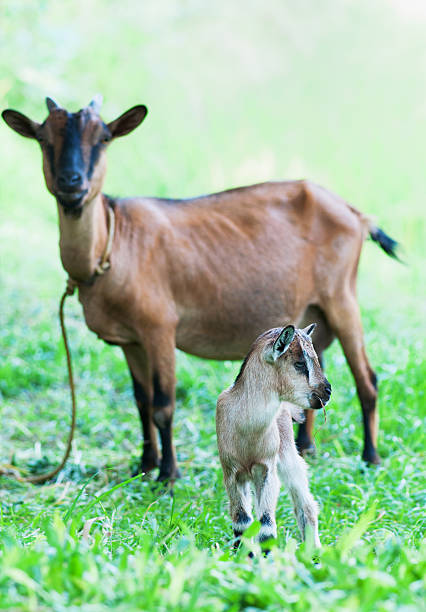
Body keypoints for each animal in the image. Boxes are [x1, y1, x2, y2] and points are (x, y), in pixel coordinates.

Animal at [1, 95, 398, 480]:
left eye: (104, 138)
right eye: (42, 139)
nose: (71, 183)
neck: (113, 245)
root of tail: (356, 214)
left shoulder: (159, 328)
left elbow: (163, 404)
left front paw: (168, 475)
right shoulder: (131, 340)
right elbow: (141, 400)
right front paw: (144, 465)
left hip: (342, 297)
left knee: (368, 379)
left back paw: (371, 458)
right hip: (311, 312)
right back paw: (306, 448)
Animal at [218, 326, 332, 548]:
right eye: (299, 363)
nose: (328, 391)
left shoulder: (267, 469)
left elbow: (266, 525)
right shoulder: (231, 473)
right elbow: (242, 523)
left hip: (288, 457)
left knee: (306, 505)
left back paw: (314, 550)